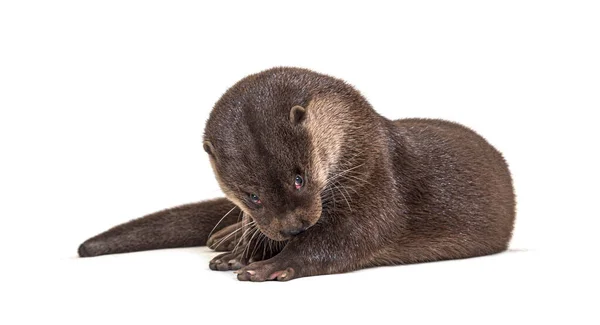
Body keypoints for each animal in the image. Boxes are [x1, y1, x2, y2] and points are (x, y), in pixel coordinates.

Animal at [76, 66, 516, 280]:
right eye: (251, 195)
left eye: (299, 178)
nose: (292, 227)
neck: (366, 144)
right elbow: (260, 228)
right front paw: (240, 254)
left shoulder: (377, 185)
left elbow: (346, 240)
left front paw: (269, 265)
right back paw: (224, 238)